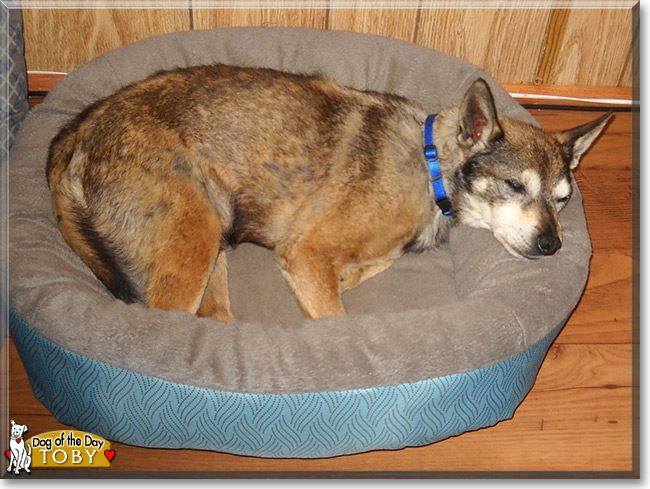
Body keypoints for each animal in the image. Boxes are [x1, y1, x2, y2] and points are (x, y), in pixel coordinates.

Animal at [48, 66, 612, 320]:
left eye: (562, 198)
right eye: (515, 186)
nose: (553, 244)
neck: (429, 164)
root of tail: (77, 130)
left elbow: (370, 266)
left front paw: (353, 274)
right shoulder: (305, 252)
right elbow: (334, 311)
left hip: (213, 240)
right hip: (195, 238)